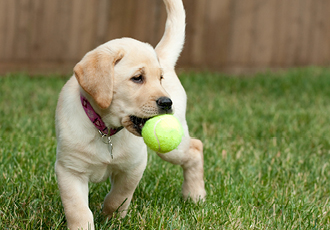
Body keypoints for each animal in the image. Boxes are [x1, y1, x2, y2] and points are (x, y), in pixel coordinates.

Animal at [55, 0, 205, 228]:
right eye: (137, 78)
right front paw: (85, 224)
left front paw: (111, 218)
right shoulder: (69, 170)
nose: (167, 102)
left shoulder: (133, 167)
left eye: (160, 78)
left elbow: (119, 197)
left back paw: (195, 195)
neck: (106, 130)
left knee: (196, 148)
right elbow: (77, 209)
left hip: (173, 148)